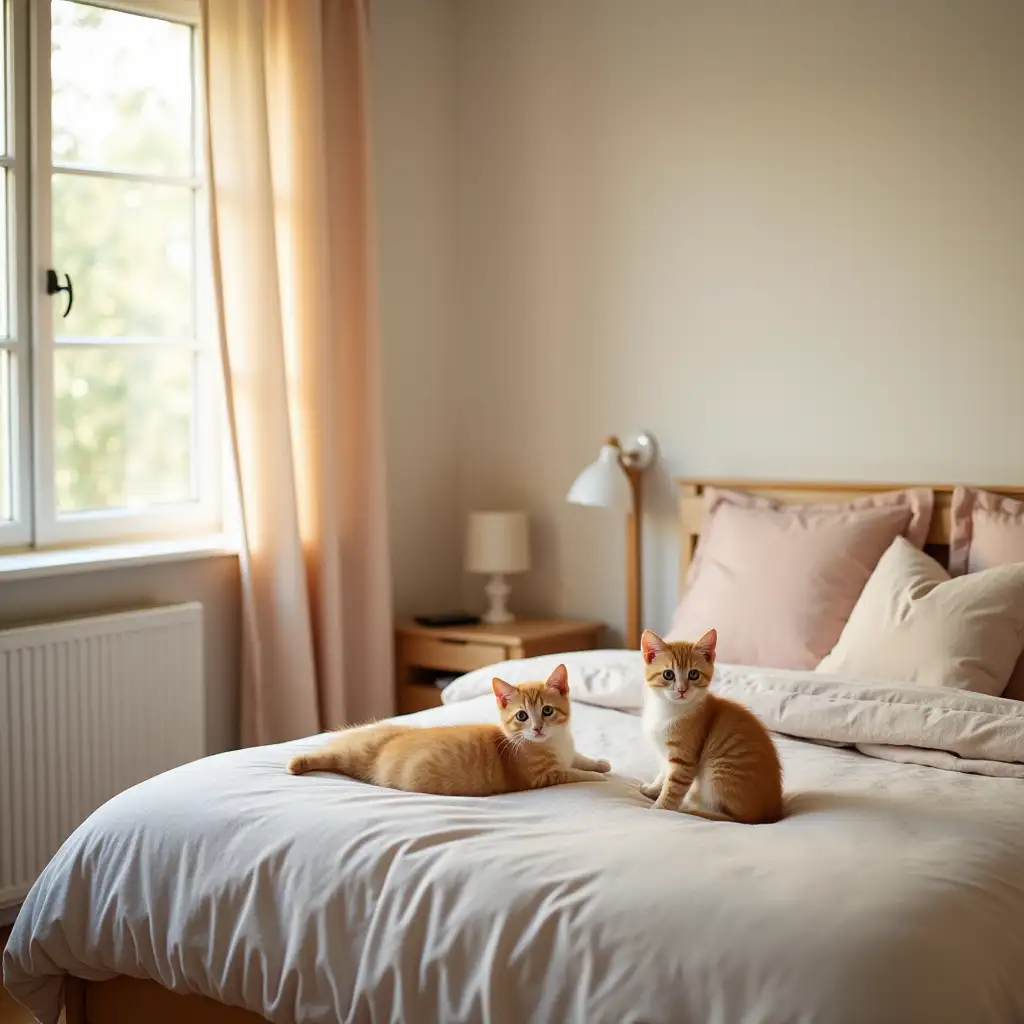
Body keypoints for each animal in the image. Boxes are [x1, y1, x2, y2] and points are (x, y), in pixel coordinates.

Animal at [284, 663, 610, 798]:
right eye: (521, 716)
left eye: (547, 711)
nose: (538, 728)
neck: (555, 742)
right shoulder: (543, 776)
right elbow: (573, 773)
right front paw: (597, 776)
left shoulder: (567, 750)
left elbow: (579, 758)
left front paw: (600, 762)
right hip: (353, 753)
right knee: (328, 752)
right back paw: (297, 762)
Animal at [638, 622, 782, 823]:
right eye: (668, 674)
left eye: (693, 674)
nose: (682, 689)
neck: (666, 710)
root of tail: (772, 814)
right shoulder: (663, 754)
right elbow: (663, 774)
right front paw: (653, 789)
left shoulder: (684, 760)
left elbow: (673, 788)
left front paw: (659, 808)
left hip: (718, 772)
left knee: (731, 818)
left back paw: (691, 808)